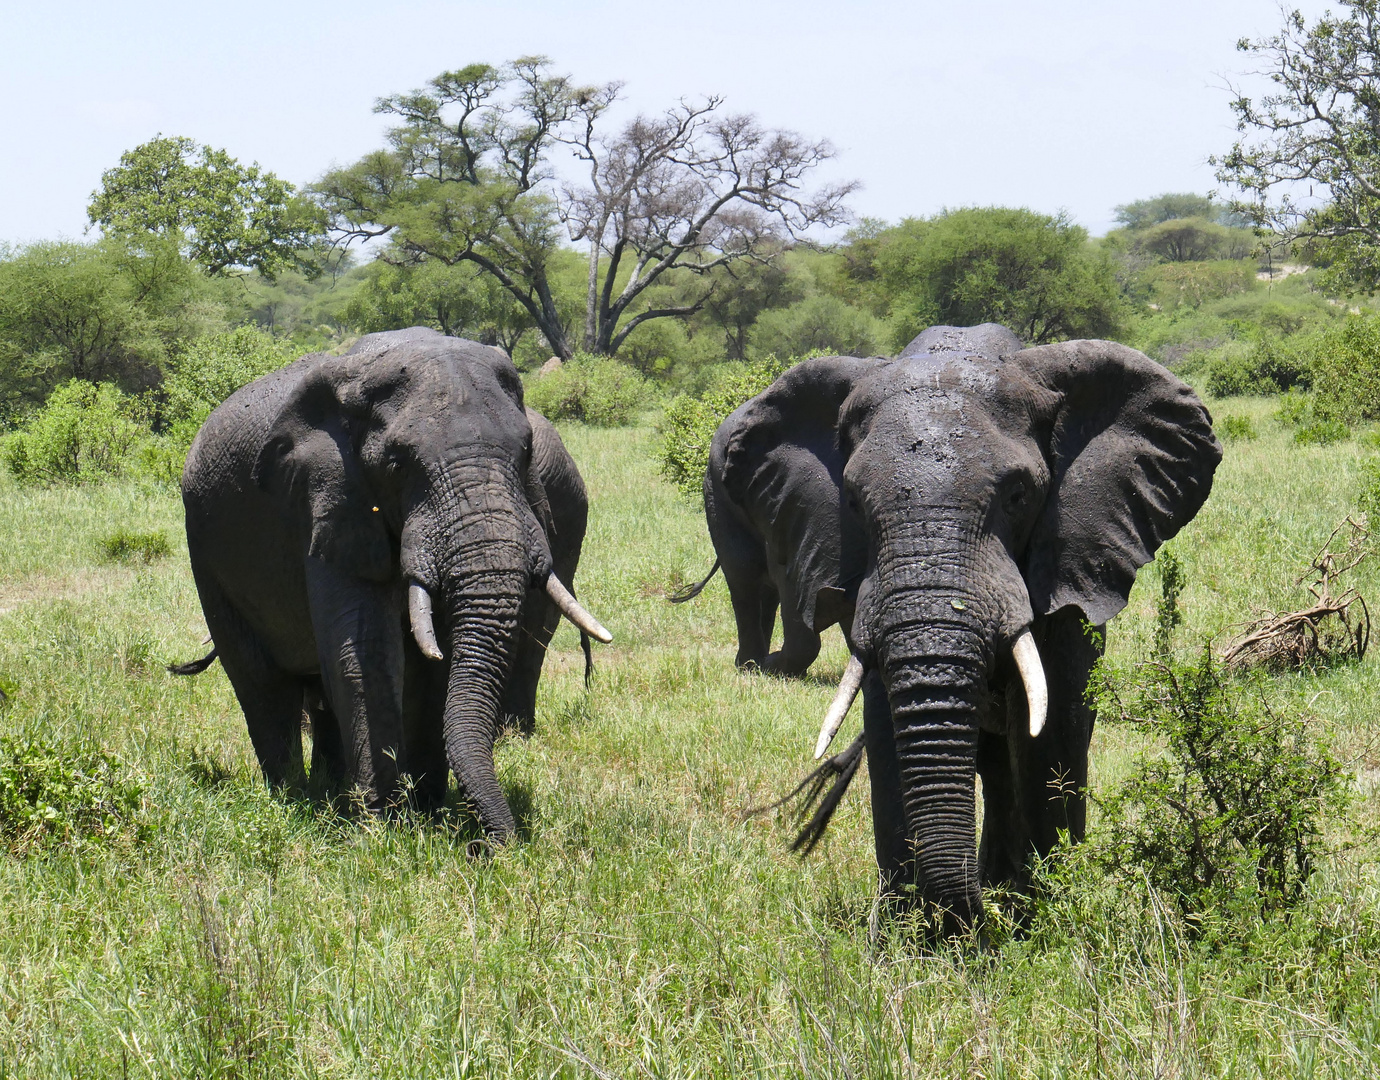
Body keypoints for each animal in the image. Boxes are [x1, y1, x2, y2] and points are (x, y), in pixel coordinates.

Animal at [176, 325, 609, 838]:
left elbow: (436, 659)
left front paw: (426, 814)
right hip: (205, 548)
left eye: (525, 455)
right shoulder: (328, 498)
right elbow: (365, 652)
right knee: (260, 679)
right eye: (398, 464)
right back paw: (291, 797)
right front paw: (382, 830)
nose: (495, 846)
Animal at [684, 321, 1214, 926]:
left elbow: (1051, 725)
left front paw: (1042, 916)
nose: (976, 920)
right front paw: (910, 932)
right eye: (853, 502)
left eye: (1019, 495)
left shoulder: (1067, 552)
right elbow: (887, 724)